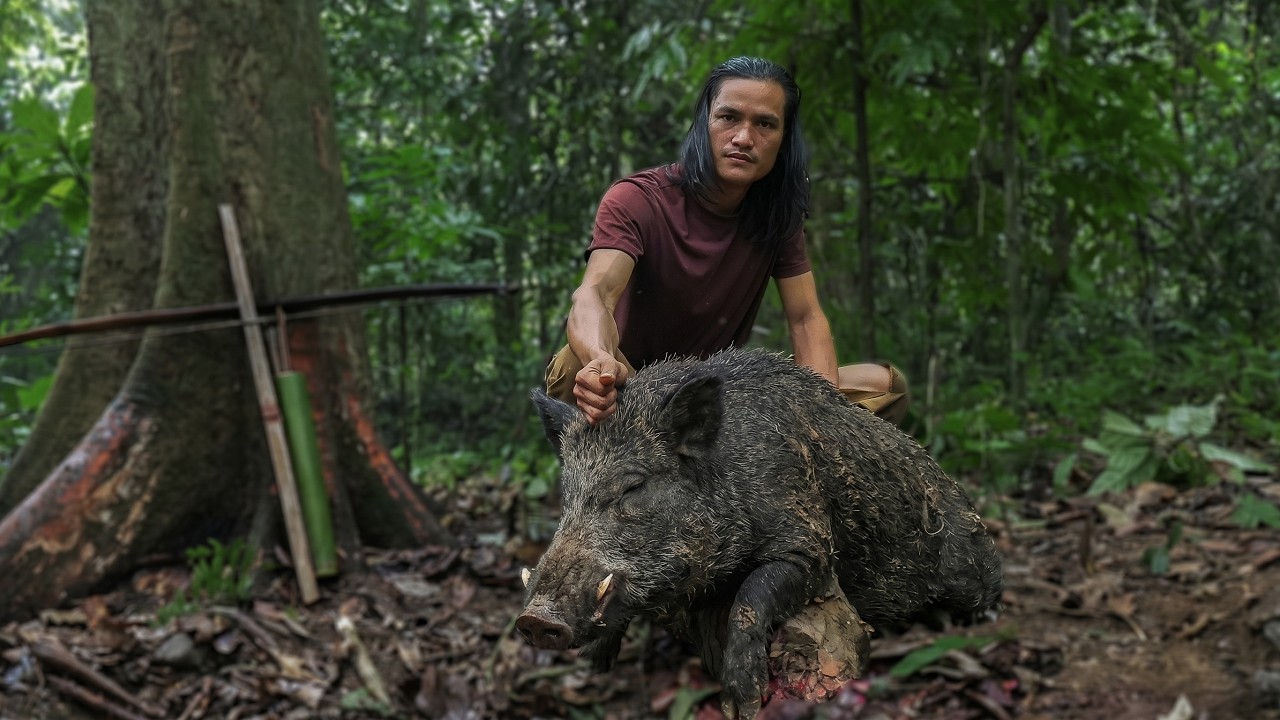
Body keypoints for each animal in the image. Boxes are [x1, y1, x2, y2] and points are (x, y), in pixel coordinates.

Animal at [516, 347, 1002, 717]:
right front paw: (594, 667)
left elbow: (752, 596)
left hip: (972, 561)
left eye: (633, 486)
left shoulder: (810, 543)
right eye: (567, 492)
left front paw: (743, 701)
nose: (535, 619)